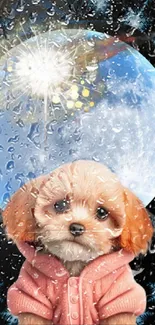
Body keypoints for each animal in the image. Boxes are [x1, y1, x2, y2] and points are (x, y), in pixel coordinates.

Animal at [2, 160, 154, 324]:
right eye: (60, 205)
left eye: (102, 212)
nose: (76, 227)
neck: (74, 264)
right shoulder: (33, 294)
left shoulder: (118, 296)